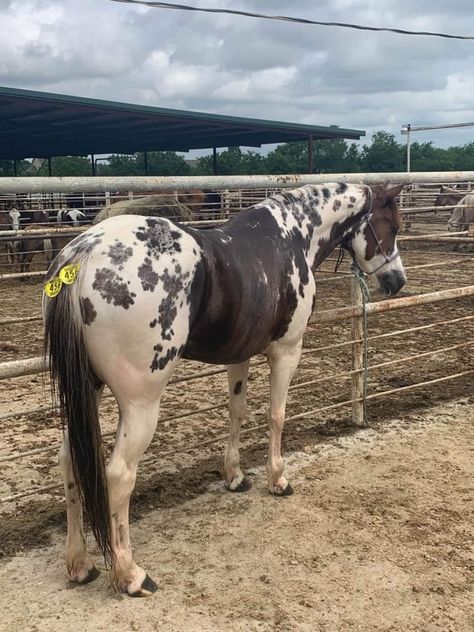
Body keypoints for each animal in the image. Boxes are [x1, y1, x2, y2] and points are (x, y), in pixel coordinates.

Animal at [43, 180, 408, 596]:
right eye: (392, 226)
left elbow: (237, 413)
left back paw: (80, 564)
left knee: (70, 460)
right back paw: (131, 575)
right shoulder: (287, 351)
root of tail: (83, 254)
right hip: (140, 403)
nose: (397, 281)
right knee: (119, 475)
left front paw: (235, 476)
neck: (293, 235)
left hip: (86, 391)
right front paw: (278, 479)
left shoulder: (240, 355)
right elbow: (276, 416)